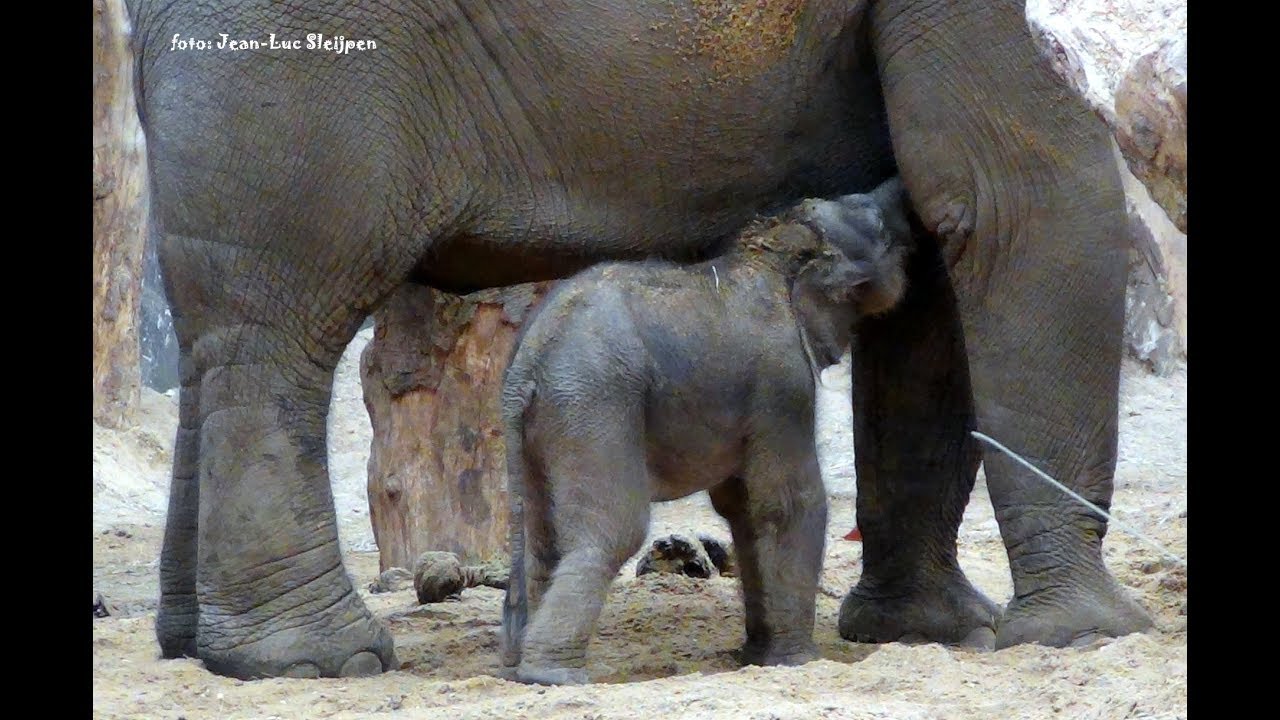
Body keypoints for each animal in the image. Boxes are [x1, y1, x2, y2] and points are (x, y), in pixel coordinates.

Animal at [499, 182, 913, 685]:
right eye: (879, 227)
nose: (901, 191)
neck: (772, 252)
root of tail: (528, 361)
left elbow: (743, 508)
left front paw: (757, 655)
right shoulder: (783, 383)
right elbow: (789, 504)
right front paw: (797, 661)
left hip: (540, 425)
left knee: (543, 540)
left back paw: (520, 668)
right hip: (593, 402)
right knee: (613, 530)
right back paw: (554, 676)